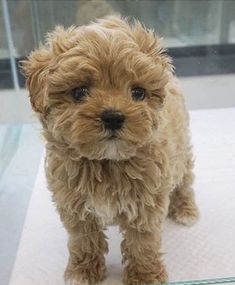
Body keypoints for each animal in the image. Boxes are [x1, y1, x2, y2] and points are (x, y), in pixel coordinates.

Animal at [22, 15, 199, 284]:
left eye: (138, 92)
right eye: (79, 92)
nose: (113, 117)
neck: (106, 163)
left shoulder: (146, 204)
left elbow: (142, 245)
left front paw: (145, 276)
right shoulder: (76, 207)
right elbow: (84, 241)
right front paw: (82, 272)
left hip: (181, 153)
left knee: (184, 182)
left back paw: (186, 209)